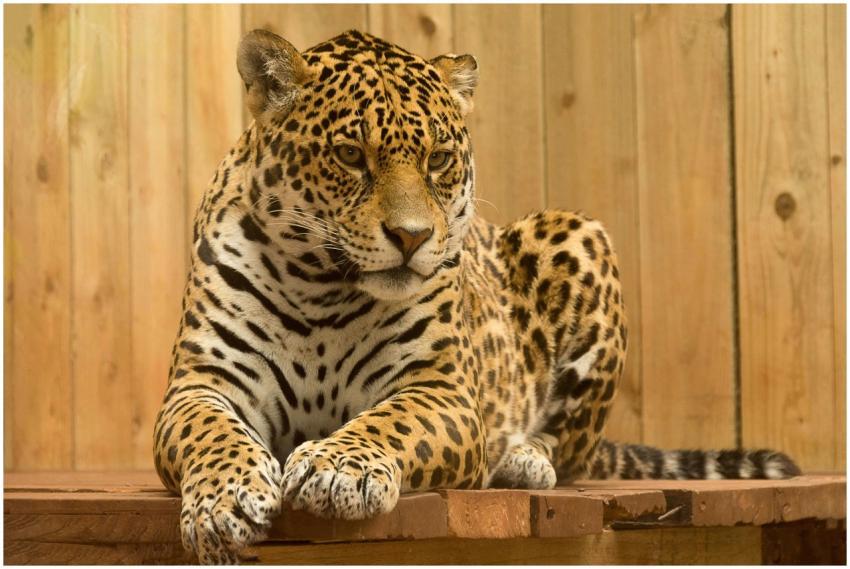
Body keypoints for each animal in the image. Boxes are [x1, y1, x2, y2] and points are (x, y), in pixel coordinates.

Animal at [153, 29, 801, 564]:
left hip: (579, 235)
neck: (322, 287)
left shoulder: (442, 391)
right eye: (350, 156)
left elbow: (387, 421)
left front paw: (338, 467)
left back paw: (521, 460)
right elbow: (209, 433)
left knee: (571, 448)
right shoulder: (201, 384)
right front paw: (225, 501)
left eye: (439, 159)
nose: (412, 237)